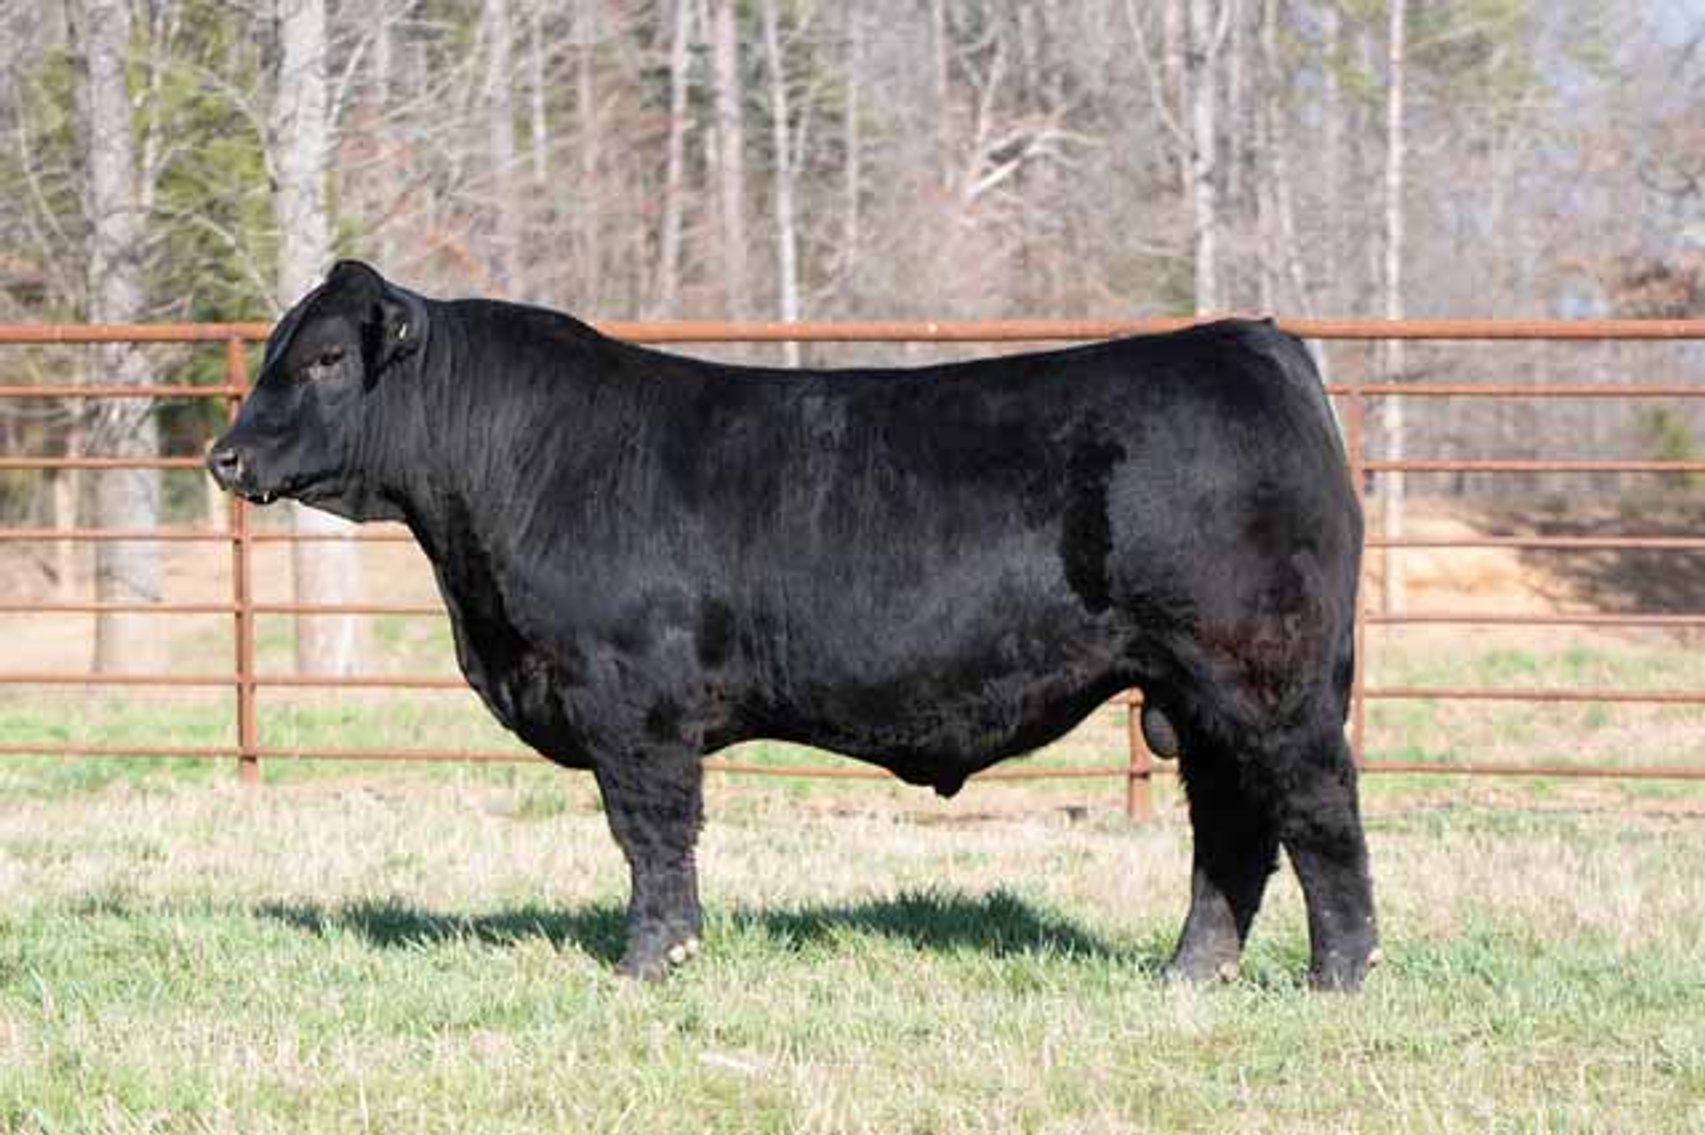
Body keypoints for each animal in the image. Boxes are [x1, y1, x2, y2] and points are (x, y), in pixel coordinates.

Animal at [208, 261, 1375, 989]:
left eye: (324, 360)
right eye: (272, 352)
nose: (224, 455)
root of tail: (1252, 344)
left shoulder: (630, 700)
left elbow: (651, 833)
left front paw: (651, 962)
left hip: (1264, 677)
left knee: (1316, 811)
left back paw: (1339, 974)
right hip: (1193, 692)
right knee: (1230, 829)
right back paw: (1188, 973)